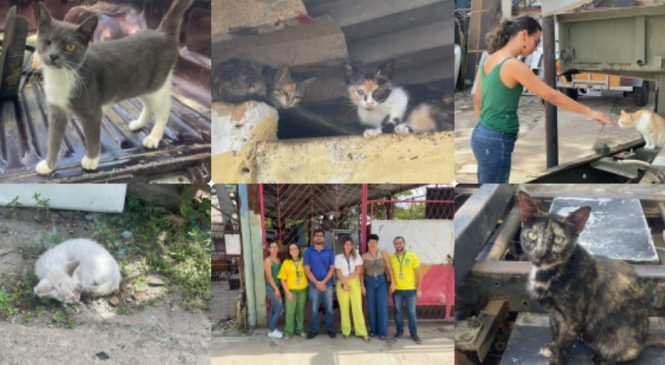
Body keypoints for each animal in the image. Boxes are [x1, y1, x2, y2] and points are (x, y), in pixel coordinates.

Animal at [34, 0, 192, 175]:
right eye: (47, 42)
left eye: (70, 47)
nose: (53, 56)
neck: (62, 76)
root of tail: (163, 32)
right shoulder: (57, 110)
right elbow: (53, 140)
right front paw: (48, 165)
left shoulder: (92, 112)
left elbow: (92, 138)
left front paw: (91, 160)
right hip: (141, 84)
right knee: (148, 105)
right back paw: (139, 123)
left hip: (157, 85)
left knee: (163, 112)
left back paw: (153, 137)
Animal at [520, 191, 664, 364]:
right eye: (532, 235)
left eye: (559, 240)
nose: (540, 254)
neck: (548, 273)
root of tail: (645, 337)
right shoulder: (555, 314)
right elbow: (555, 331)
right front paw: (552, 348)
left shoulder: (573, 320)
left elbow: (564, 343)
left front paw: (557, 358)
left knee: (627, 353)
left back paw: (601, 358)